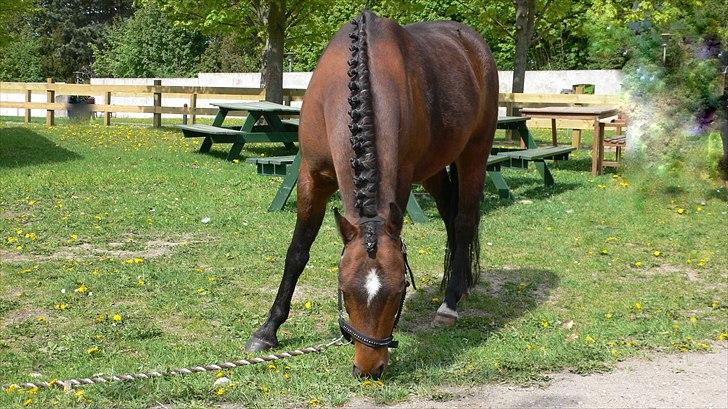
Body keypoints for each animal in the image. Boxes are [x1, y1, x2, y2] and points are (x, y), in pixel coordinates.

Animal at [246, 9, 500, 378]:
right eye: (344, 290)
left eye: (400, 291)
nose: (368, 369)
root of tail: (472, 44)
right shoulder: (311, 176)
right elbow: (297, 252)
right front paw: (267, 330)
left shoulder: (402, 180)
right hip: (434, 169)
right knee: (450, 217)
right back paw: (461, 284)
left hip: (474, 153)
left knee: (464, 220)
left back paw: (450, 302)